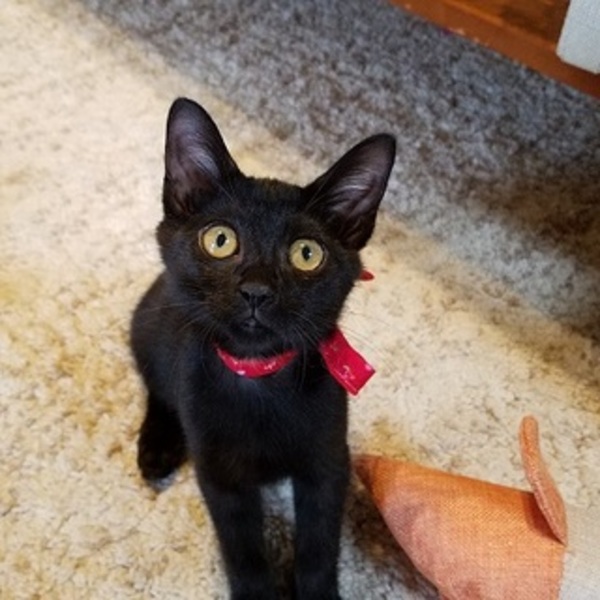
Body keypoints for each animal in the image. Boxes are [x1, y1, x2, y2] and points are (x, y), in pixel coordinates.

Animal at [130, 97, 395, 599]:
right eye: (220, 240)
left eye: (307, 254)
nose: (256, 290)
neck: (259, 375)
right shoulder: (221, 476)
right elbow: (245, 552)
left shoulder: (328, 462)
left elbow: (318, 547)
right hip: (145, 330)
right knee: (156, 387)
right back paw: (157, 447)